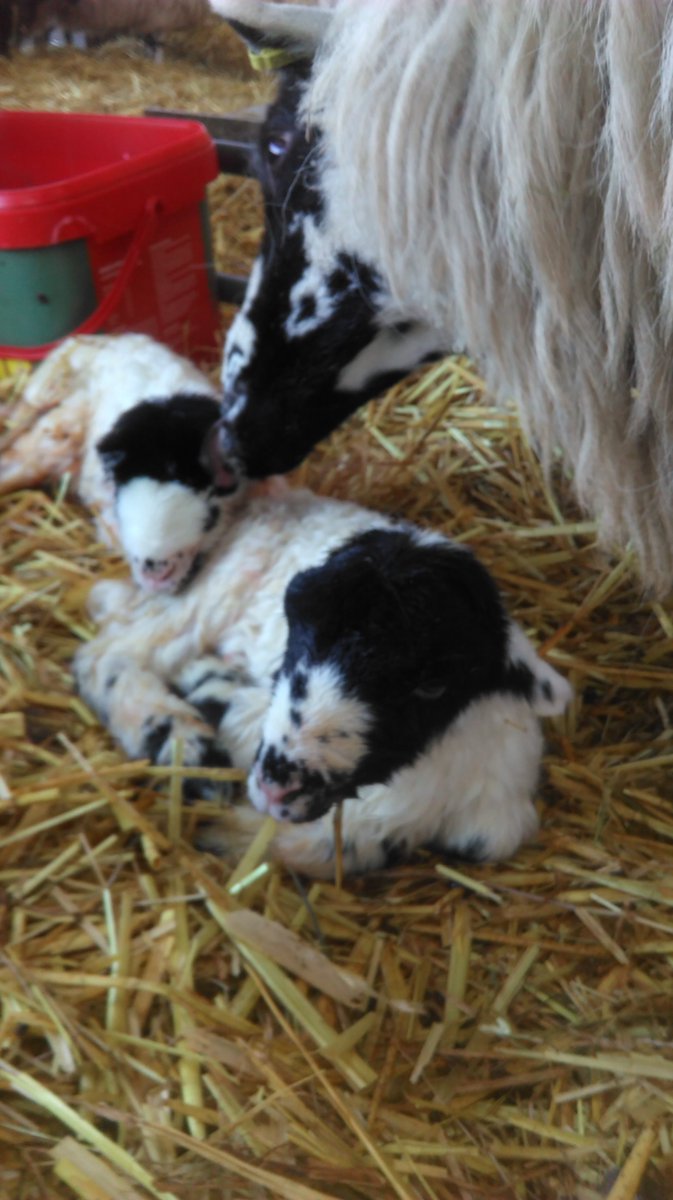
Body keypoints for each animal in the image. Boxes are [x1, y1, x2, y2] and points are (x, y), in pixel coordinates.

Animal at [73, 484, 572, 879]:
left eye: (433, 684)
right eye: (295, 624)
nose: (277, 786)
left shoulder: (492, 823)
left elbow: (330, 847)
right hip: (214, 594)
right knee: (107, 653)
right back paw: (179, 738)